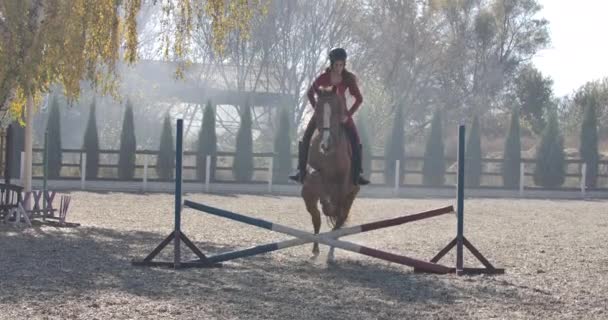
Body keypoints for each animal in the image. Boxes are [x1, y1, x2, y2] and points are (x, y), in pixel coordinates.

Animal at [300, 85, 358, 262]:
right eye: (318, 110)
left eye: (337, 110)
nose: (325, 145)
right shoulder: (313, 170)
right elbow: (315, 174)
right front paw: (325, 201)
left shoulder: (343, 185)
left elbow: (335, 209)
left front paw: (329, 206)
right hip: (309, 200)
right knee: (316, 219)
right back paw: (315, 251)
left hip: (350, 198)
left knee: (338, 222)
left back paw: (331, 254)